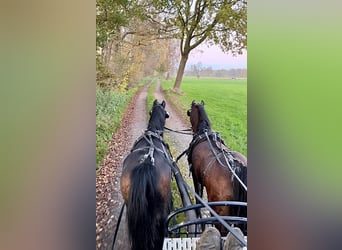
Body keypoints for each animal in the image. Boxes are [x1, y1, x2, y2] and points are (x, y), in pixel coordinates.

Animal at [186, 100, 247, 235]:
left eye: (190, 111)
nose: (187, 112)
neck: (203, 132)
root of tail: (237, 166)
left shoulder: (196, 179)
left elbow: (198, 199)